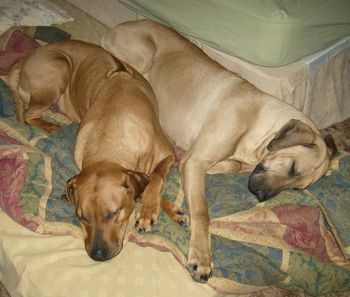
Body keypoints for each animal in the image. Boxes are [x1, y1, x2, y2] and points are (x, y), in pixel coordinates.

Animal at [1, 40, 183, 262]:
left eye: (113, 213)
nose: (98, 255)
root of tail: (24, 60)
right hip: (59, 71)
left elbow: (154, 178)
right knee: (27, 116)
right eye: (81, 217)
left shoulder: (168, 153)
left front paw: (150, 210)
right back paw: (52, 126)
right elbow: (146, 183)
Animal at [100, 19, 336, 280]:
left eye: (297, 188)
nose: (261, 196)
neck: (257, 122)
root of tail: (120, 26)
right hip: (144, 55)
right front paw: (201, 257)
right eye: (293, 167)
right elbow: (202, 212)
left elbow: (229, 164)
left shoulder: (204, 159)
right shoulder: (195, 161)